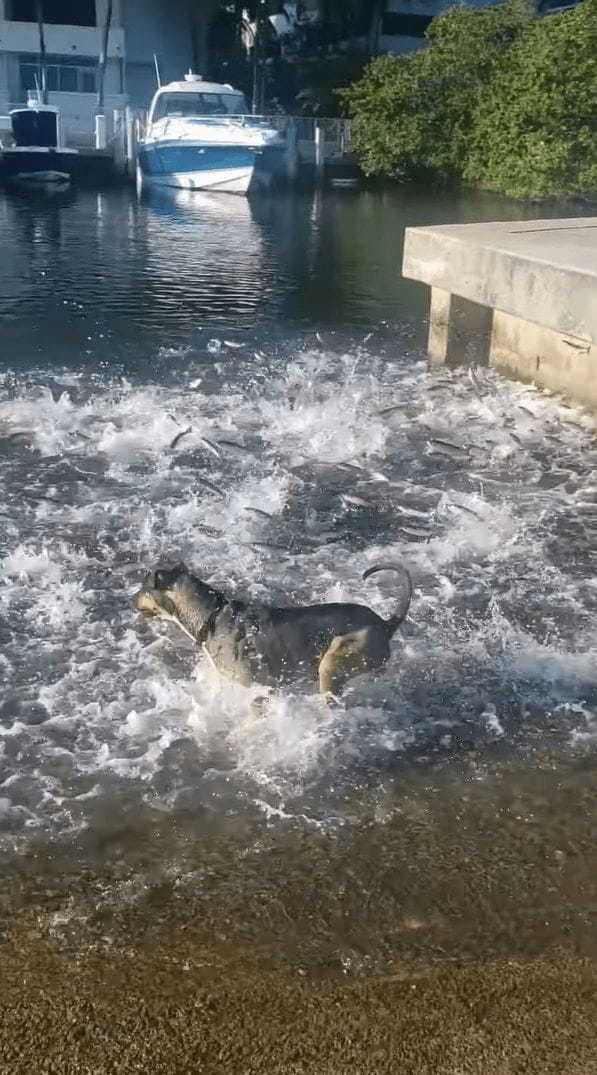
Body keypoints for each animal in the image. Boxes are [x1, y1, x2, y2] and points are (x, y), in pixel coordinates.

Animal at [134, 559, 410, 700]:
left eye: (142, 588)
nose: (130, 599)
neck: (210, 614)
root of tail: (387, 624)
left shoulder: (254, 689)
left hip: (334, 661)